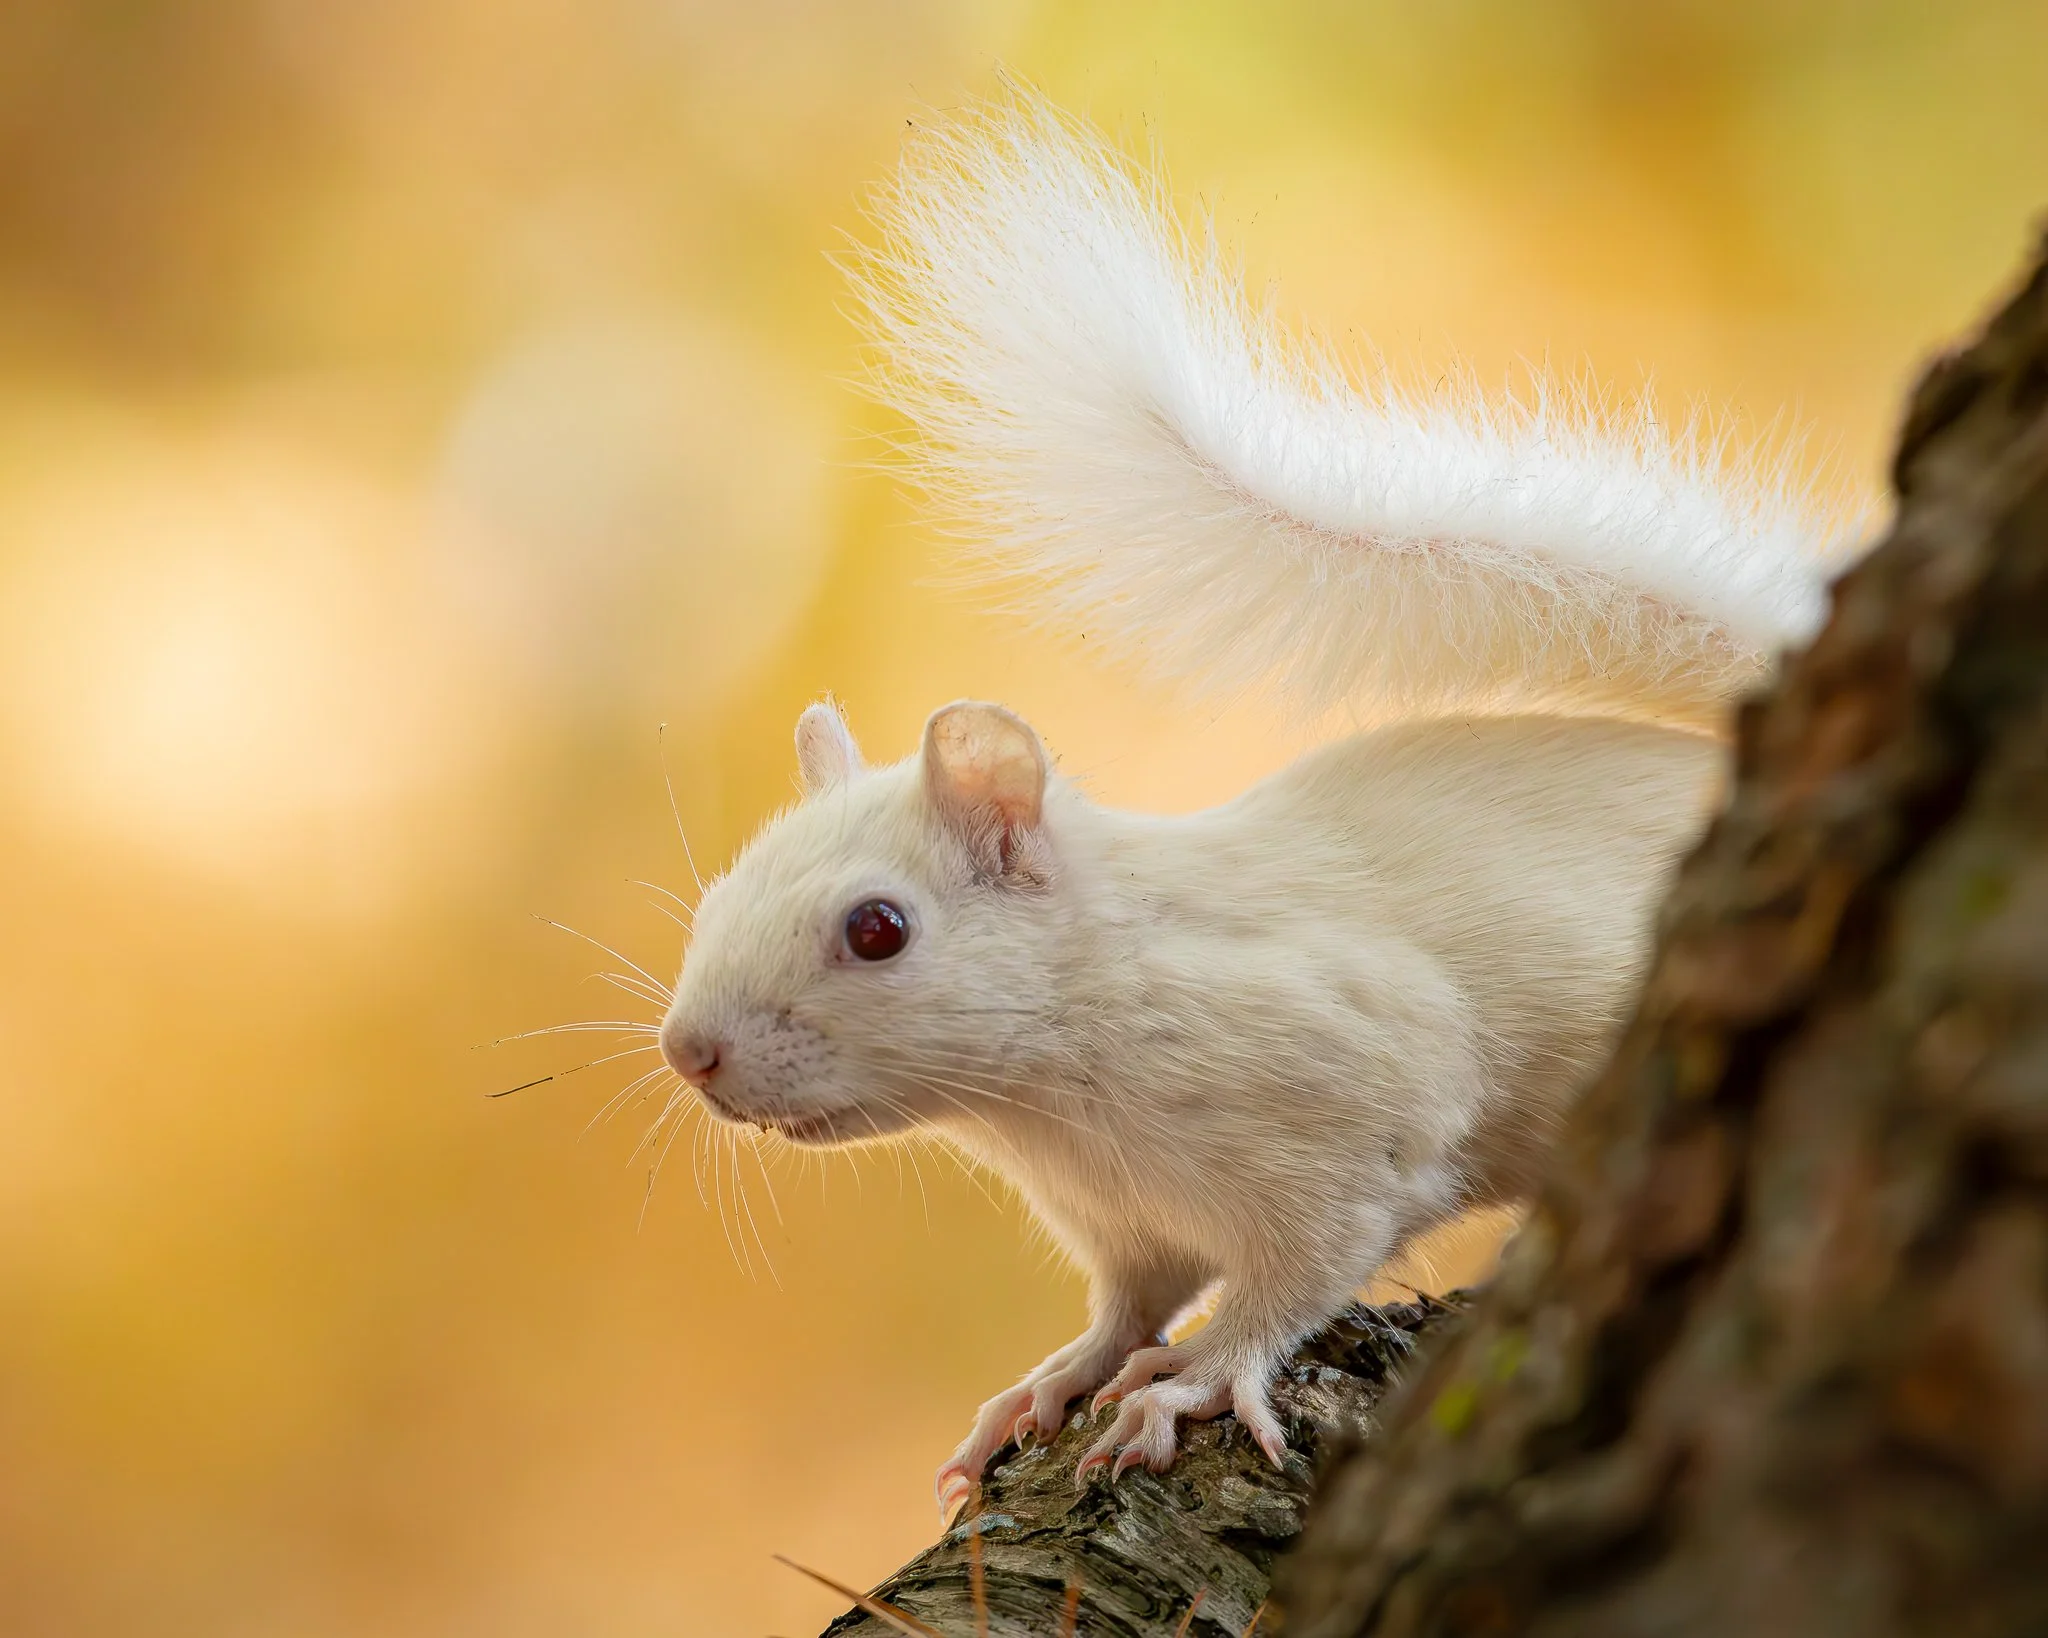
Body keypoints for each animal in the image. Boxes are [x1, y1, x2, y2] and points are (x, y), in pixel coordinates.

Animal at [653, 91, 1857, 1516]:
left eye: (877, 930)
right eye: (719, 894)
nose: (688, 1053)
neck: (1057, 1086)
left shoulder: (1347, 1113)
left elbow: (1287, 1278)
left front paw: (1190, 1384)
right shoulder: (1122, 1220)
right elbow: (1126, 1303)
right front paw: (1051, 1381)